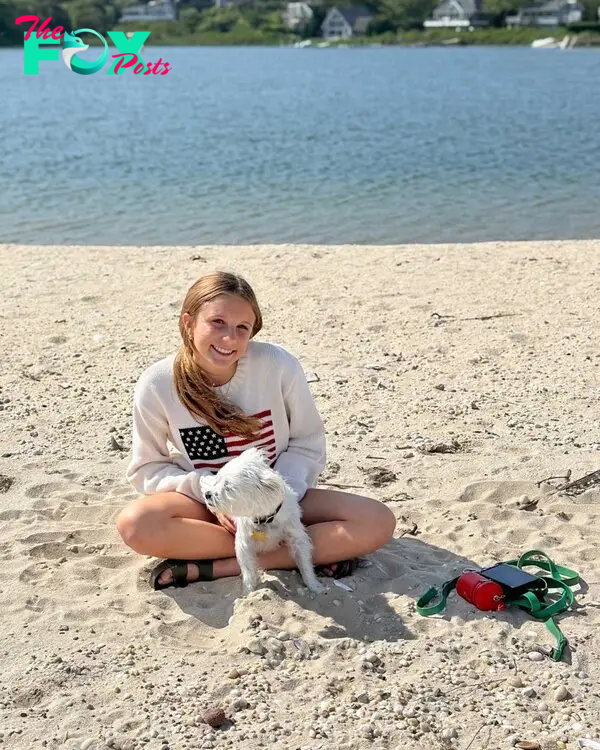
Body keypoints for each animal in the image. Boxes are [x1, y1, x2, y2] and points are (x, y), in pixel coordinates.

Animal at [199, 450, 326, 596]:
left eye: (228, 487)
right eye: (217, 481)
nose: (207, 494)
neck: (264, 517)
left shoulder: (297, 536)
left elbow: (305, 562)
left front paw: (314, 585)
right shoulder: (244, 543)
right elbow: (248, 571)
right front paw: (247, 593)